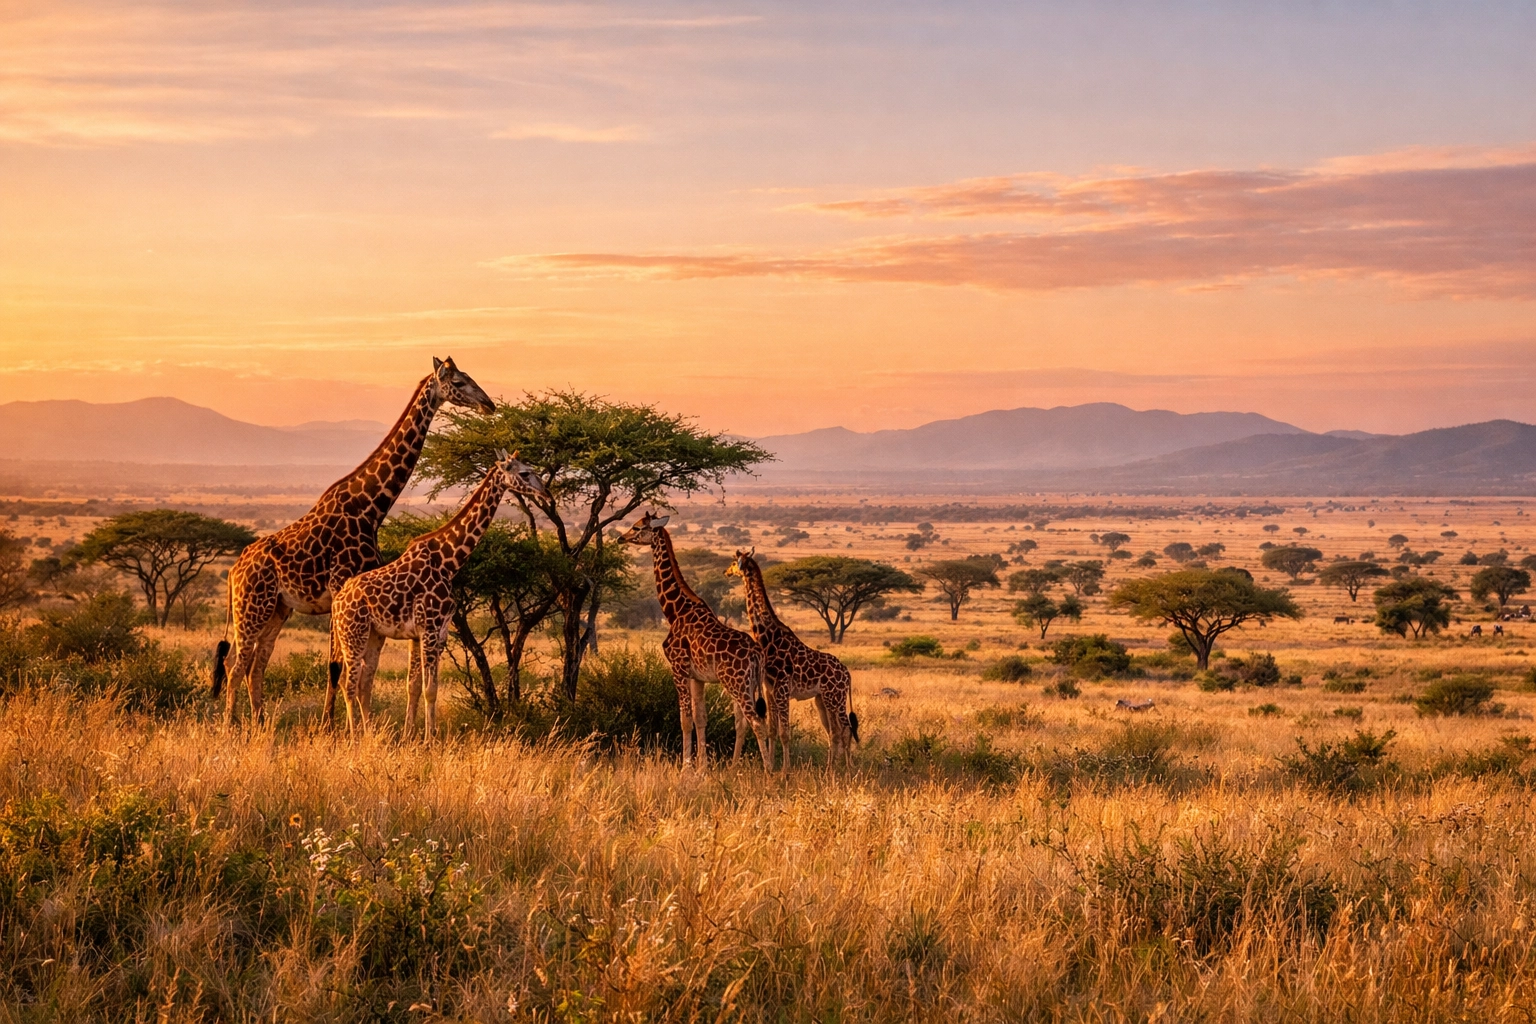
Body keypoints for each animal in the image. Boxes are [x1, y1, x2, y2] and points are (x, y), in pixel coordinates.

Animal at [212, 356, 495, 726]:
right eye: (459, 383)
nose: (489, 404)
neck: (371, 507)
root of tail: (234, 571)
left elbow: (358, 673)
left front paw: (345, 725)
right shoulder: (340, 588)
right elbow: (337, 668)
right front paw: (328, 728)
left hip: (277, 608)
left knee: (256, 665)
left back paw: (260, 724)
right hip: (251, 606)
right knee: (235, 665)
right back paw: (231, 727)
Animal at [328, 451, 549, 738]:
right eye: (524, 473)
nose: (546, 493)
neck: (448, 562)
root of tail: (337, 602)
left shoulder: (429, 633)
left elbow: (414, 687)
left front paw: (409, 736)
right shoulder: (430, 629)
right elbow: (429, 689)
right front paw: (429, 739)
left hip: (373, 636)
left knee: (364, 683)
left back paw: (369, 734)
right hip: (352, 634)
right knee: (348, 683)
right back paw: (354, 738)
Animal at [617, 512, 774, 771]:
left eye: (637, 527)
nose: (621, 538)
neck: (675, 611)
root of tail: (757, 654)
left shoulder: (678, 667)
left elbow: (685, 719)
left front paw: (686, 767)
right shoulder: (697, 676)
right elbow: (701, 718)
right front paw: (702, 768)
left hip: (737, 684)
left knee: (757, 723)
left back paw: (770, 771)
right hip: (750, 685)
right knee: (750, 722)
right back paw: (740, 768)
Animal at [727, 549, 859, 770]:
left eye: (733, 562)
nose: (726, 572)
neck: (767, 637)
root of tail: (847, 673)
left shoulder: (782, 689)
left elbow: (784, 733)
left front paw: (785, 770)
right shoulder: (769, 689)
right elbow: (772, 730)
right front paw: (772, 765)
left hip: (836, 698)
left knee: (846, 728)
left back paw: (849, 769)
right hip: (823, 700)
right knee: (834, 732)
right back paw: (830, 769)